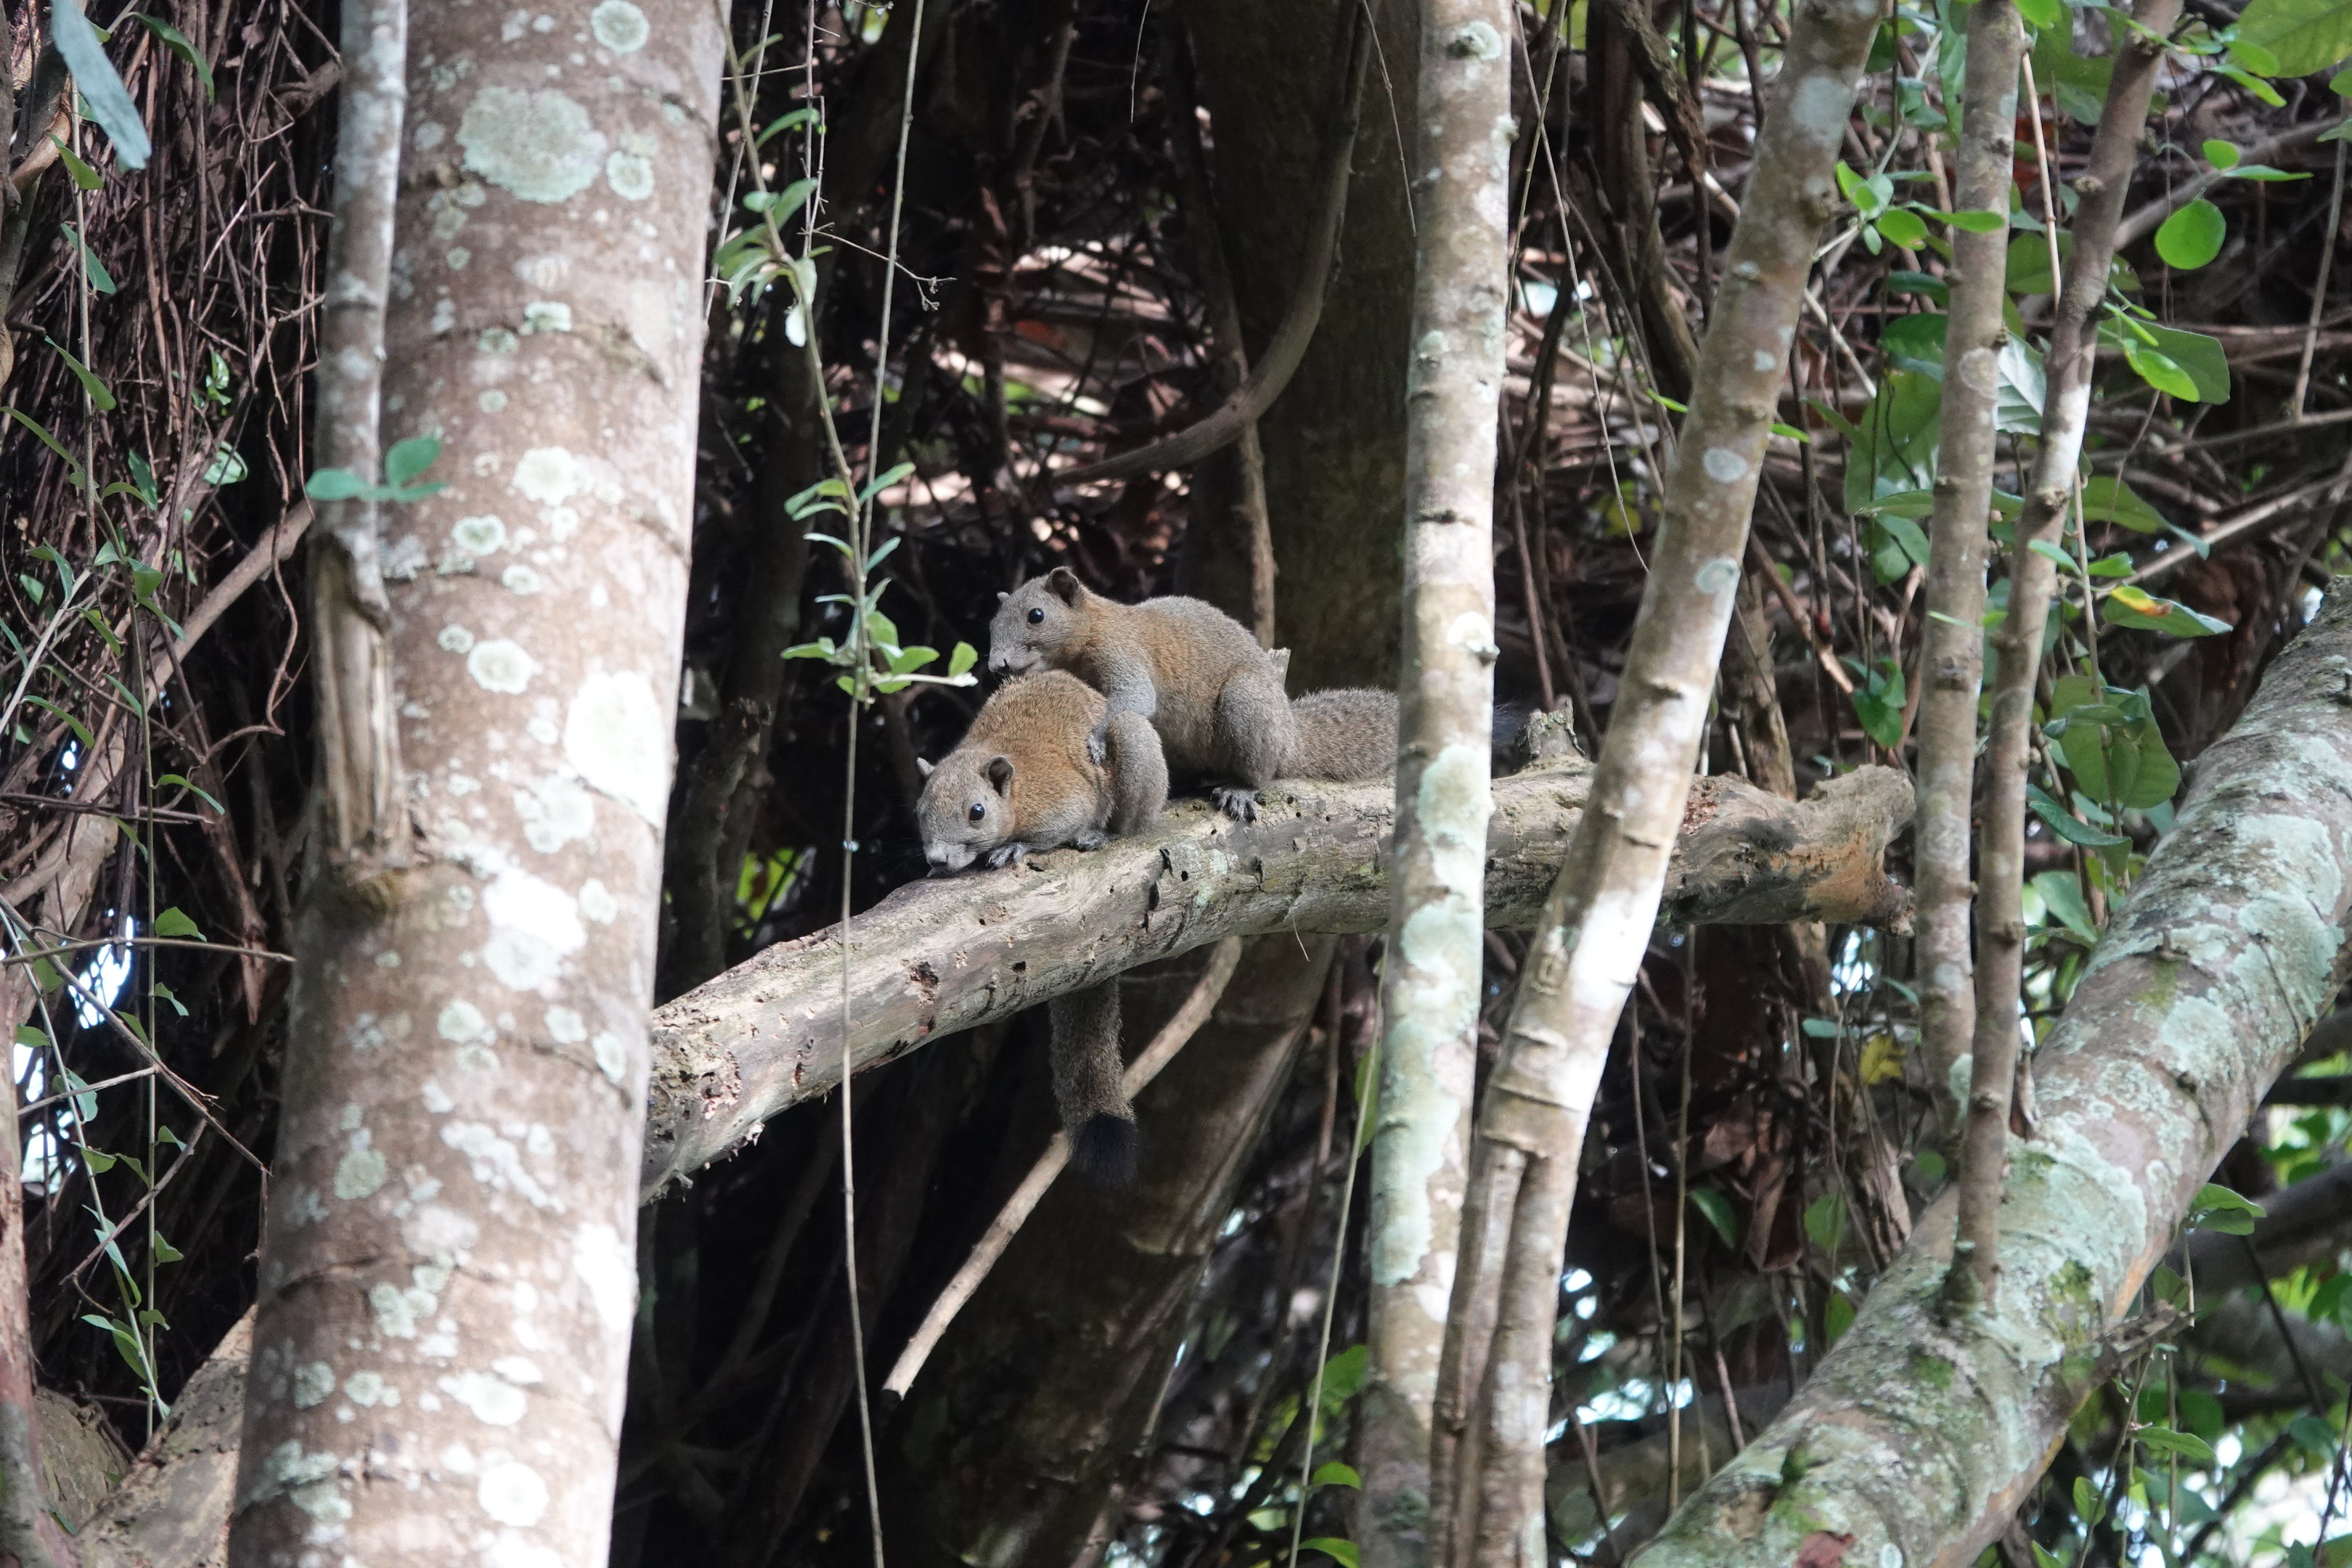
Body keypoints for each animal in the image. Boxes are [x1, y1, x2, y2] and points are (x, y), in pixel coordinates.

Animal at [914, 670, 1167, 1185]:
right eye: (919, 810)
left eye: (976, 812)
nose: (938, 859)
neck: (1016, 792)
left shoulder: (1063, 798)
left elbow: (1053, 832)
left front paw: (1018, 848)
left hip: (1133, 760)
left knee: (1128, 824)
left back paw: (1102, 834)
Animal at [987, 567, 1398, 818]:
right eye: (992, 624)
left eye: (1036, 616)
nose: (997, 665)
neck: (1095, 624)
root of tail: (1291, 740)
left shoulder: (1123, 651)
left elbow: (1134, 698)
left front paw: (1097, 740)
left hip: (1246, 704)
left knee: (1260, 773)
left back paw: (1241, 790)